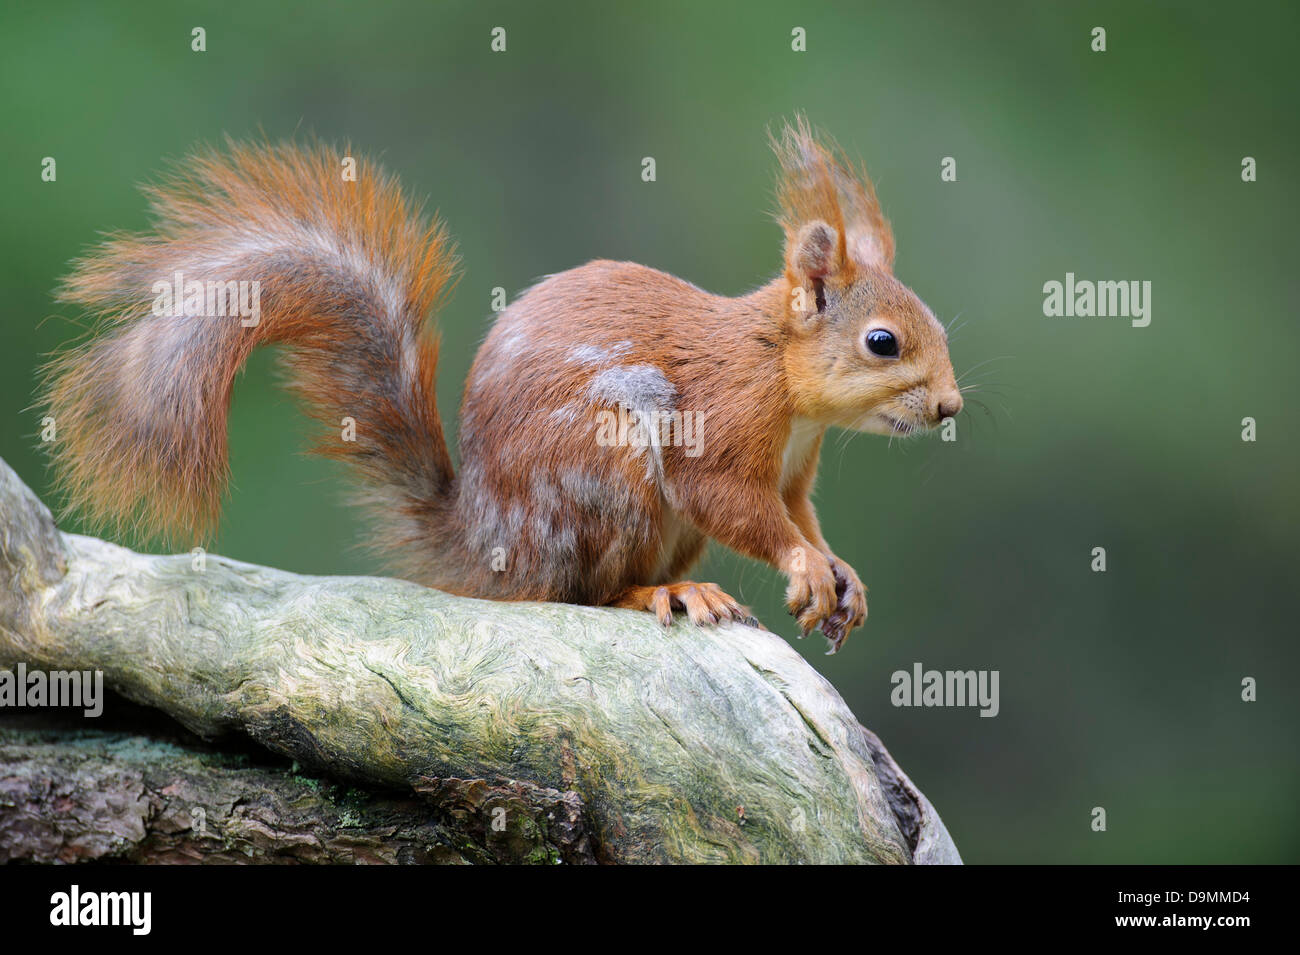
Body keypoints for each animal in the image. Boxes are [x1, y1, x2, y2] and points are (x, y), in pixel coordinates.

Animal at [43, 119, 956, 654]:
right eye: (881, 342)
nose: (949, 406)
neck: (780, 372)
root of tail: (489, 541)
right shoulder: (725, 422)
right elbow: (734, 501)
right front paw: (804, 565)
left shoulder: (795, 467)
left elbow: (799, 512)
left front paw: (840, 573)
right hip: (603, 475)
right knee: (581, 594)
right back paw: (664, 591)